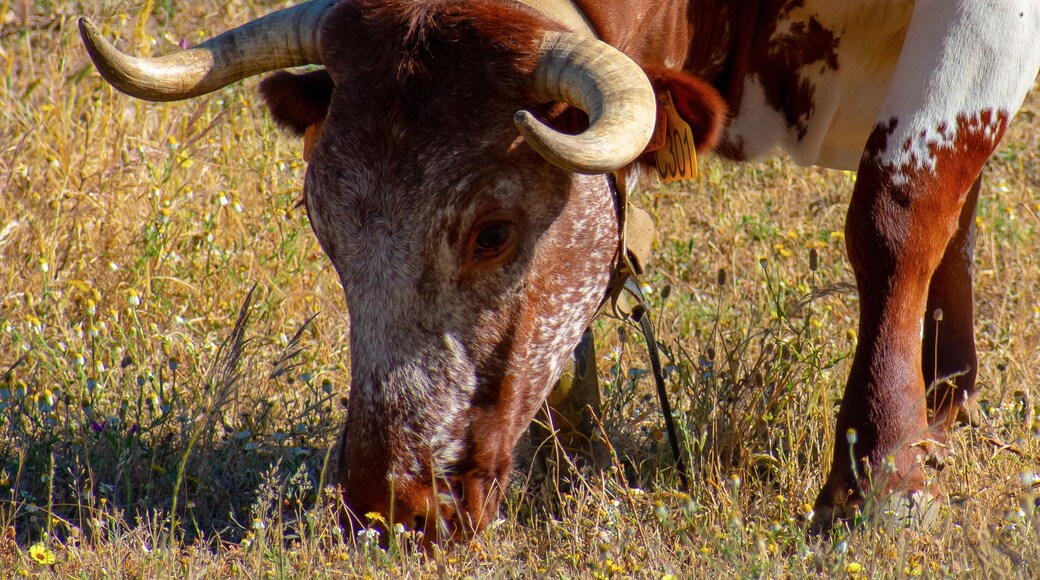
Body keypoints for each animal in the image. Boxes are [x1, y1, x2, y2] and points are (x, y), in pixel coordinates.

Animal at [79, 0, 1040, 546]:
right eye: (325, 226)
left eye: (493, 231)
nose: (390, 505)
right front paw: (574, 469)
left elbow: (899, 209)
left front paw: (877, 481)